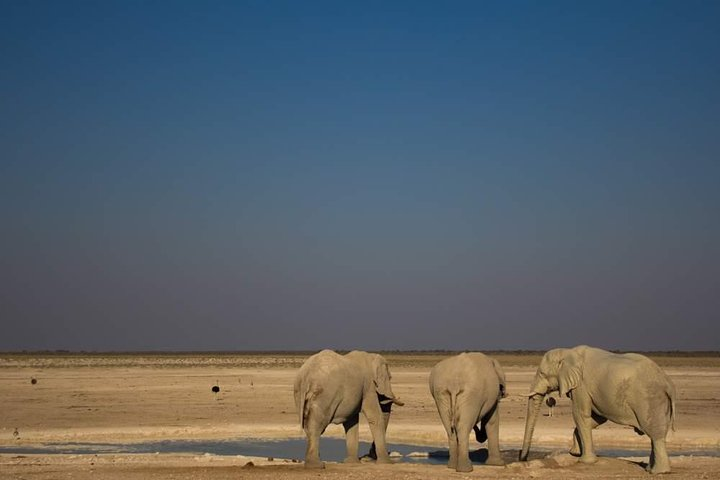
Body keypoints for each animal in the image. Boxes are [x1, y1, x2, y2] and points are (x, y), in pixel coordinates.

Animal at [516, 344, 676, 472]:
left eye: (542, 374)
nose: (522, 458)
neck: (568, 352)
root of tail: (668, 383)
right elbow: (596, 418)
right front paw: (575, 452)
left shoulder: (581, 385)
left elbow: (580, 415)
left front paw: (584, 460)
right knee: (656, 434)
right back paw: (650, 469)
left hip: (650, 400)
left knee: (655, 434)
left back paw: (658, 472)